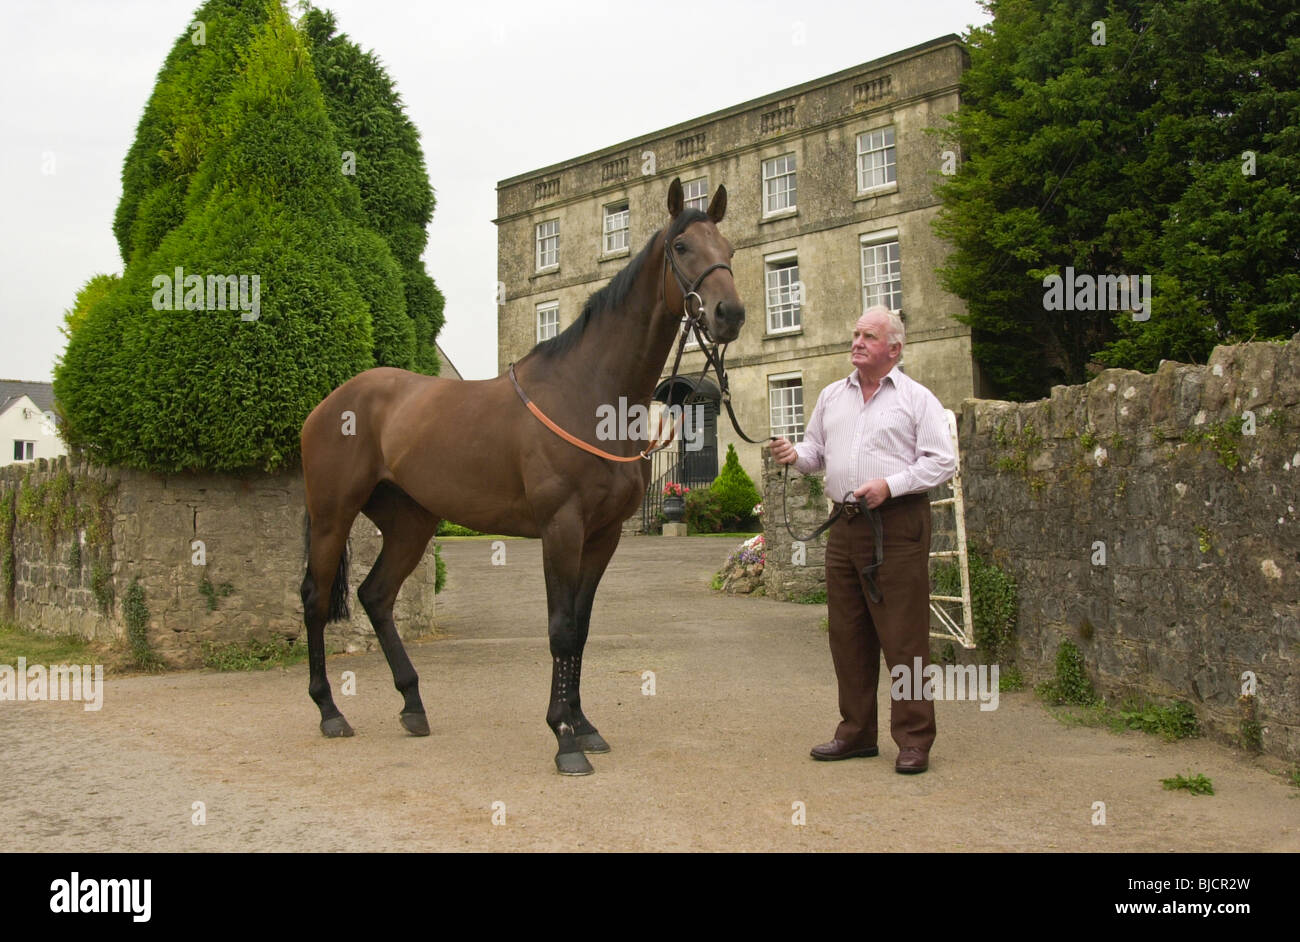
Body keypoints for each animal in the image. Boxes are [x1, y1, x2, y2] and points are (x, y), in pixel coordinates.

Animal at [296, 176, 743, 769]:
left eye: (729, 249)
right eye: (682, 247)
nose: (729, 313)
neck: (588, 390)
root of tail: (330, 404)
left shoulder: (602, 536)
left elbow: (581, 628)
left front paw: (583, 724)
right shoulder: (561, 528)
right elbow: (560, 629)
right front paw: (564, 739)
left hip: (411, 522)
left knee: (376, 596)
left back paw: (413, 705)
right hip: (333, 514)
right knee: (316, 599)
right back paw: (329, 711)